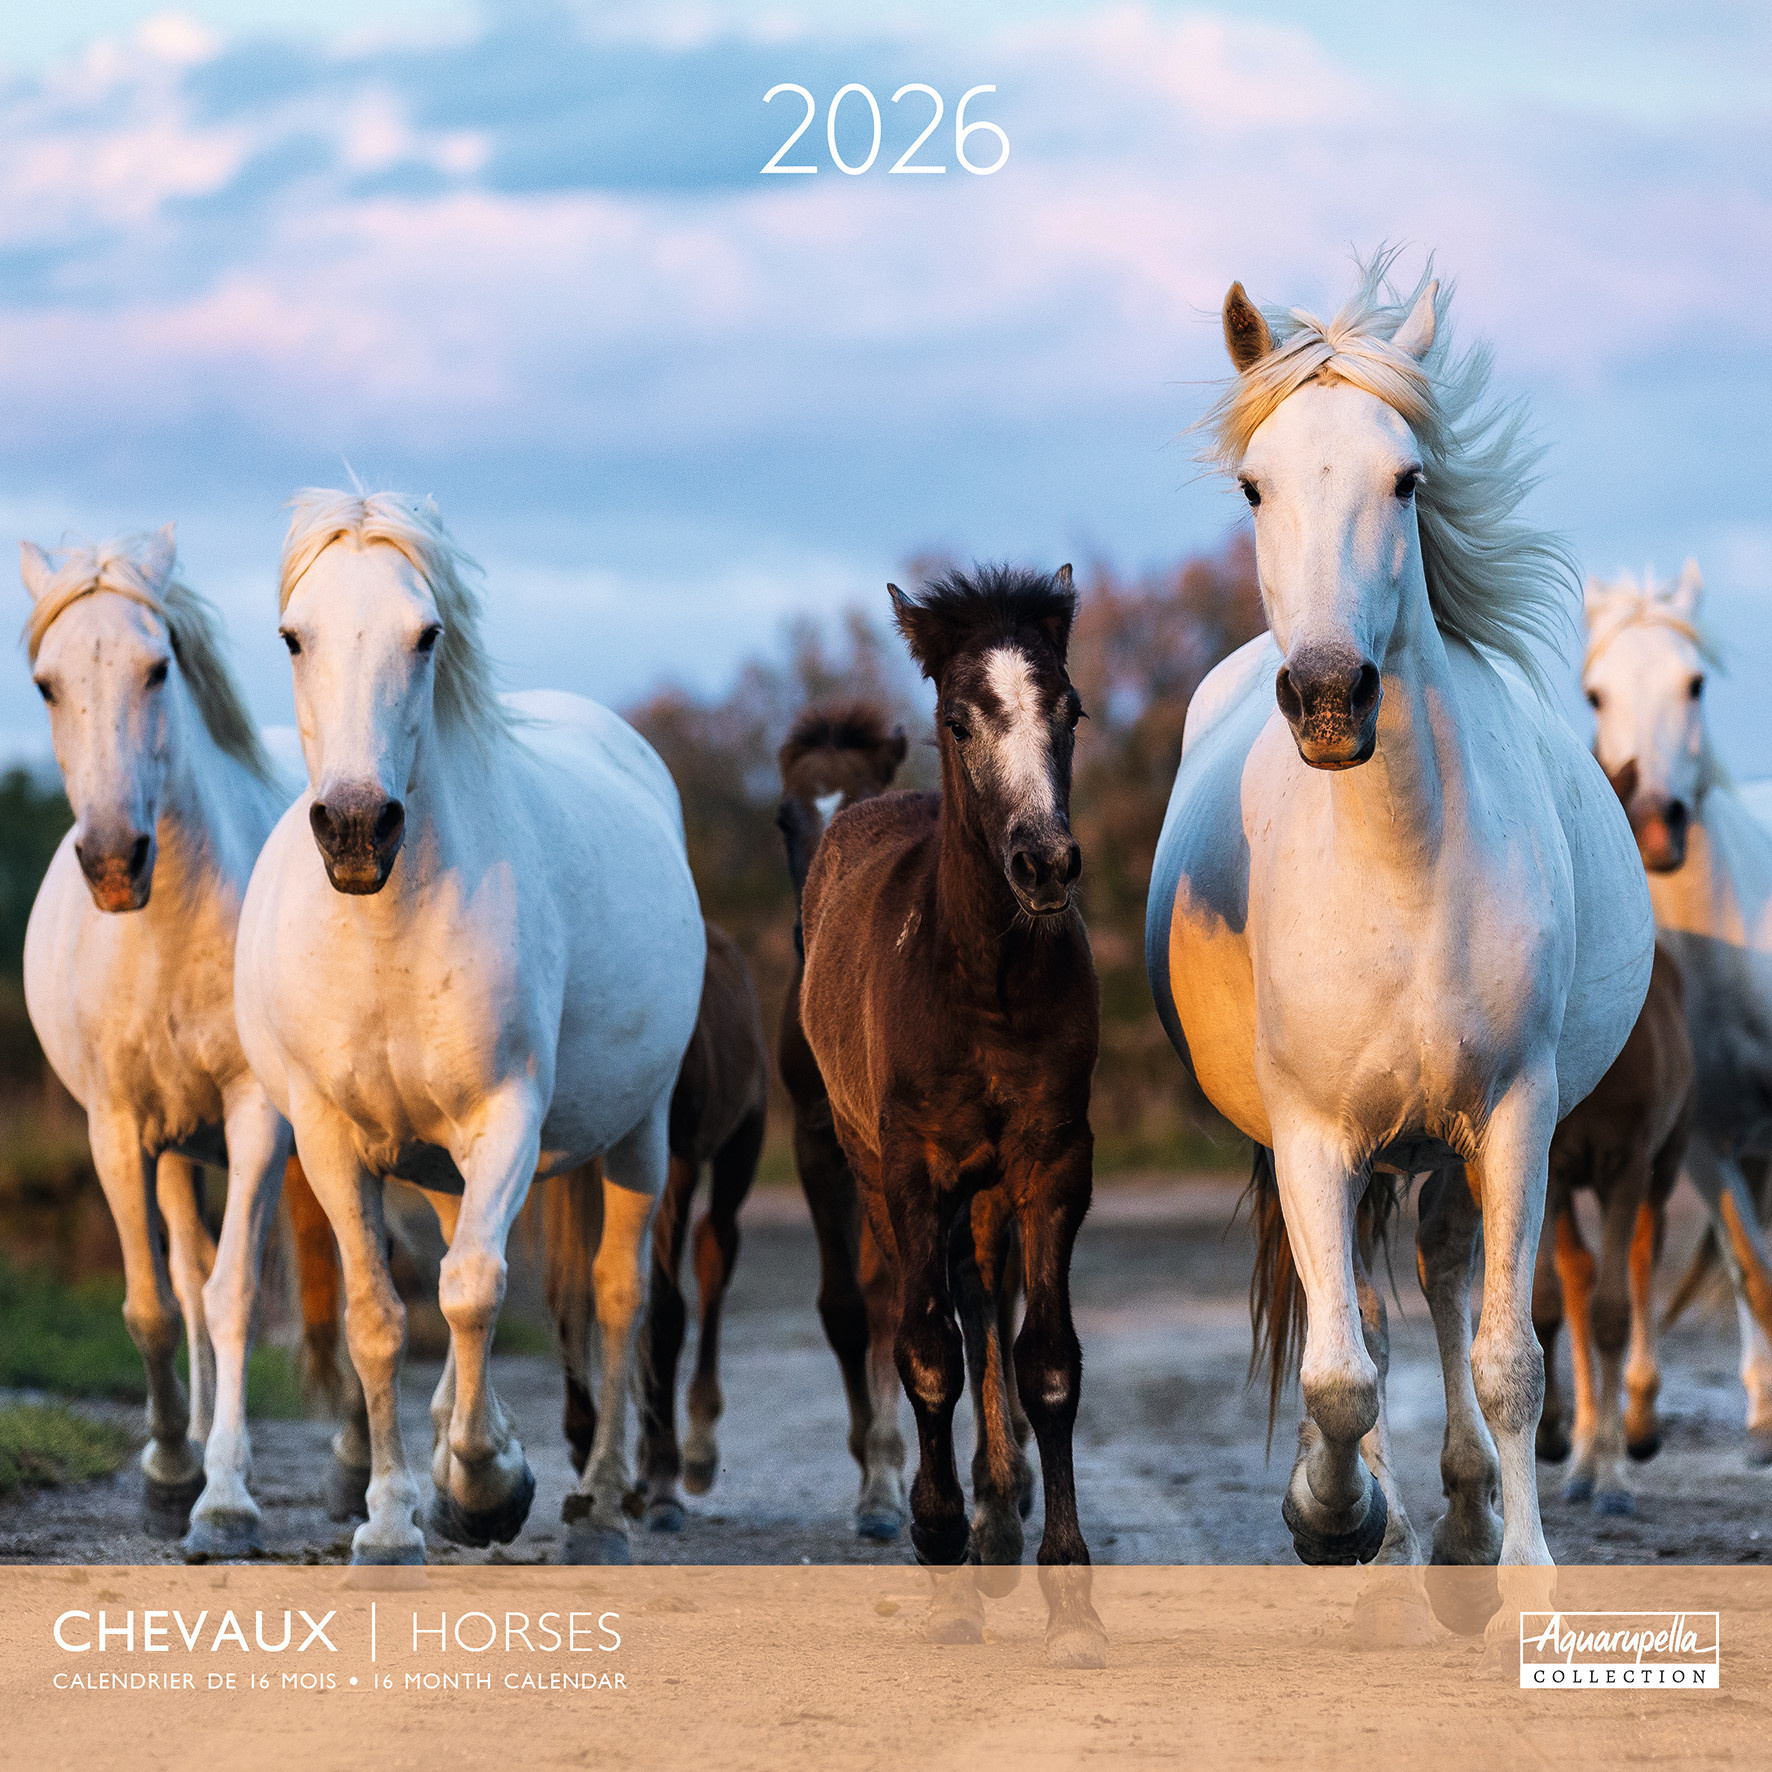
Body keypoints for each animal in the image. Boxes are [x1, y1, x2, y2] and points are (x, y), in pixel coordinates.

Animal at [20, 527, 301, 1556]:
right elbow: (152, 1303)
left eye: (157, 667)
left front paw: (226, 1502)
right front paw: (172, 1472)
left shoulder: (260, 1120)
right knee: (185, 1275)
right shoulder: (118, 1126)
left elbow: (236, 1296)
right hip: (181, 1146)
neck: (164, 933)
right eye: (46, 684)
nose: (113, 861)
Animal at [233, 489, 703, 1565]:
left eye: (426, 634)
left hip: (641, 1133)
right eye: (293, 636)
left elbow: (476, 1291)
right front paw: (393, 1518)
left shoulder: (507, 1118)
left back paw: (599, 1505)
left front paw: (489, 1486)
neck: (384, 933)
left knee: (616, 1295)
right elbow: (381, 1318)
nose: (355, 828)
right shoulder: (328, 1138)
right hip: (445, 1166)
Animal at [800, 567, 1106, 1668]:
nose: (1045, 863)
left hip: (986, 1190)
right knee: (928, 1308)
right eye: (958, 718)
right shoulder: (911, 1169)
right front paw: (938, 1555)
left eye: (1070, 708)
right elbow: (924, 1347)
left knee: (986, 1305)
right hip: (868, 1165)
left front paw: (1069, 1600)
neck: (984, 983)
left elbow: (1043, 1356)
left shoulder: (1052, 1163)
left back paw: (1001, 1514)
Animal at [1145, 258, 1652, 1623]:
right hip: (1360, 1150)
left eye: (1406, 478)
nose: (1328, 697)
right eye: (1254, 484)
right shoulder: (1314, 1137)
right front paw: (1332, 1518)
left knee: (1438, 1273)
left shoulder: (1517, 1111)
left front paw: (1520, 1569)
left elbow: (1507, 1355)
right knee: (1359, 1317)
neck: (1398, 868)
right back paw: (1386, 1523)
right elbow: (1337, 1372)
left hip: (1446, 1141)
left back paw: (1466, 1518)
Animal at [1532, 939, 1692, 1513]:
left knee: (1641, 1259)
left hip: (1665, 1163)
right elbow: (1548, 1300)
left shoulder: (1628, 1164)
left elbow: (1612, 1312)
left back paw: (1635, 1433)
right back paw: (1580, 1459)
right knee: (1578, 1272)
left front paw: (1614, 1483)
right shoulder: (1553, 1164)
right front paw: (1552, 1437)